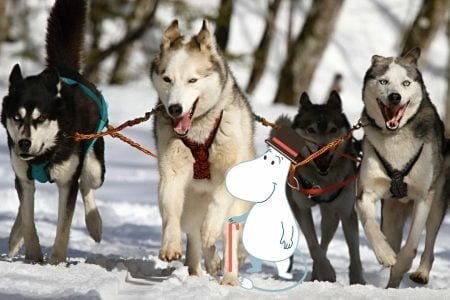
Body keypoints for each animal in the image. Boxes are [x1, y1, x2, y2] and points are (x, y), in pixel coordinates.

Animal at [0, 0, 103, 262]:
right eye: (17, 117)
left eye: (41, 118)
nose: (24, 143)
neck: (45, 154)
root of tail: (65, 69)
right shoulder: (23, 176)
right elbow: (28, 218)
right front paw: (34, 256)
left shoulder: (67, 182)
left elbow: (63, 227)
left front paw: (56, 261)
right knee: (23, 205)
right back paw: (15, 237)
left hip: (95, 167)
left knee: (87, 185)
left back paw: (95, 224)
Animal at [151, 20, 255, 284]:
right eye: (167, 79)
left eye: (192, 80)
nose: (175, 109)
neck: (199, 131)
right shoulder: (172, 173)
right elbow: (170, 210)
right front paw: (170, 245)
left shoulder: (230, 171)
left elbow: (219, 201)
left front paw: (211, 228)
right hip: (191, 207)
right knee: (195, 238)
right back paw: (198, 270)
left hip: (235, 210)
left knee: (227, 236)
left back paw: (229, 277)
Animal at [282, 91, 366, 284]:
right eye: (311, 130)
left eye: (333, 130)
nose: (324, 149)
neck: (322, 179)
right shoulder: (301, 208)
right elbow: (313, 245)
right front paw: (326, 271)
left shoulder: (346, 212)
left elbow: (355, 252)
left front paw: (358, 280)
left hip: (331, 215)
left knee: (326, 240)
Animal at [356, 47, 446, 288]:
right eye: (383, 81)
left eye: (406, 83)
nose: (394, 96)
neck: (395, 138)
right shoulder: (366, 193)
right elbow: (370, 225)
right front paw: (385, 254)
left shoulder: (423, 196)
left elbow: (412, 242)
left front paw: (403, 262)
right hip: (391, 215)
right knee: (391, 235)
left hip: (437, 202)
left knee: (430, 241)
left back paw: (421, 272)